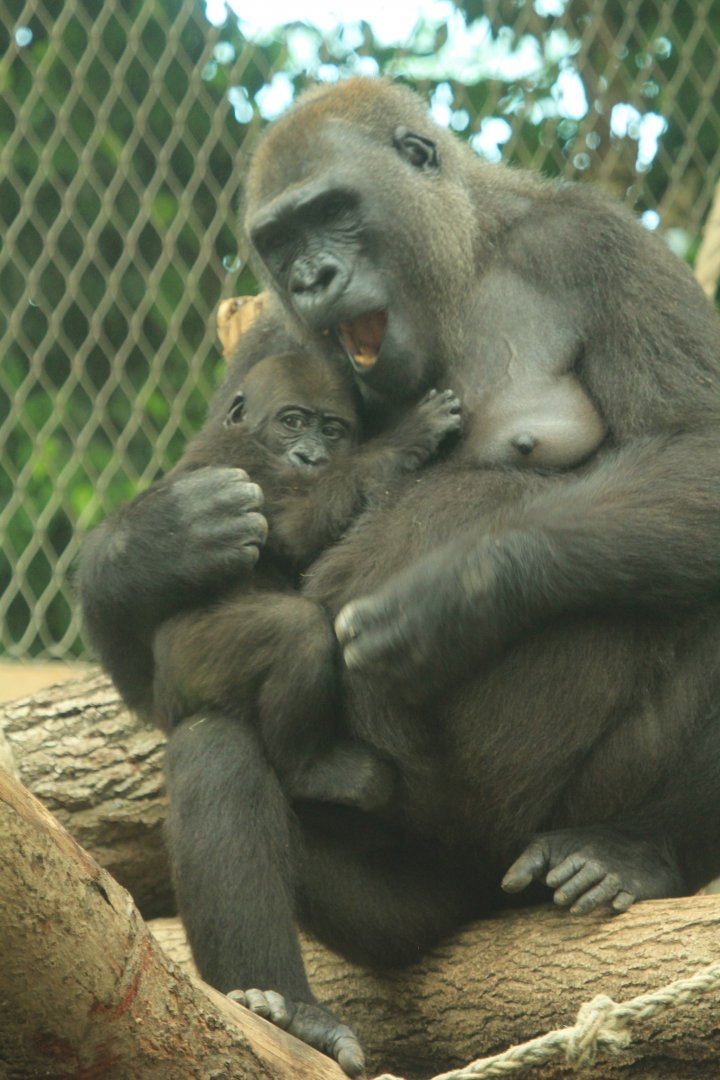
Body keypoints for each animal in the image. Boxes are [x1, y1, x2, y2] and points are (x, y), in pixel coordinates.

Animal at [152, 348, 461, 810]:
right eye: (292, 422)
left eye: (332, 431)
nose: (311, 457)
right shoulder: (241, 457)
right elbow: (298, 526)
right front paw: (408, 436)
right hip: (186, 666)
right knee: (297, 629)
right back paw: (309, 770)